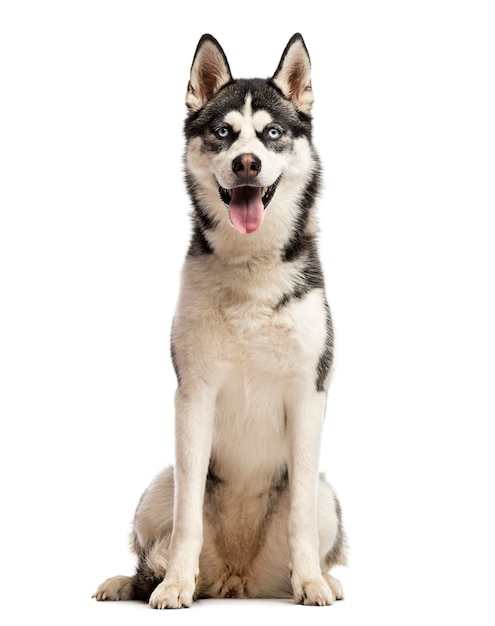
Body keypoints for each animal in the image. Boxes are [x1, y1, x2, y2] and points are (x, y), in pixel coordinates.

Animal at [95, 33, 346, 604]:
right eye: (223, 133)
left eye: (272, 133)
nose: (247, 163)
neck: (250, 268)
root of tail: (238, 578)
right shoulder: (193, 397)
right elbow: (186, 519)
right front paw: (174, 585)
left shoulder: (309, 394)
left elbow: (299, 514)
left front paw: (312, 583)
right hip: (158, 485)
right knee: (153, 543)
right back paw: (132, 581)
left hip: (328, 497)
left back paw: (325, 577)